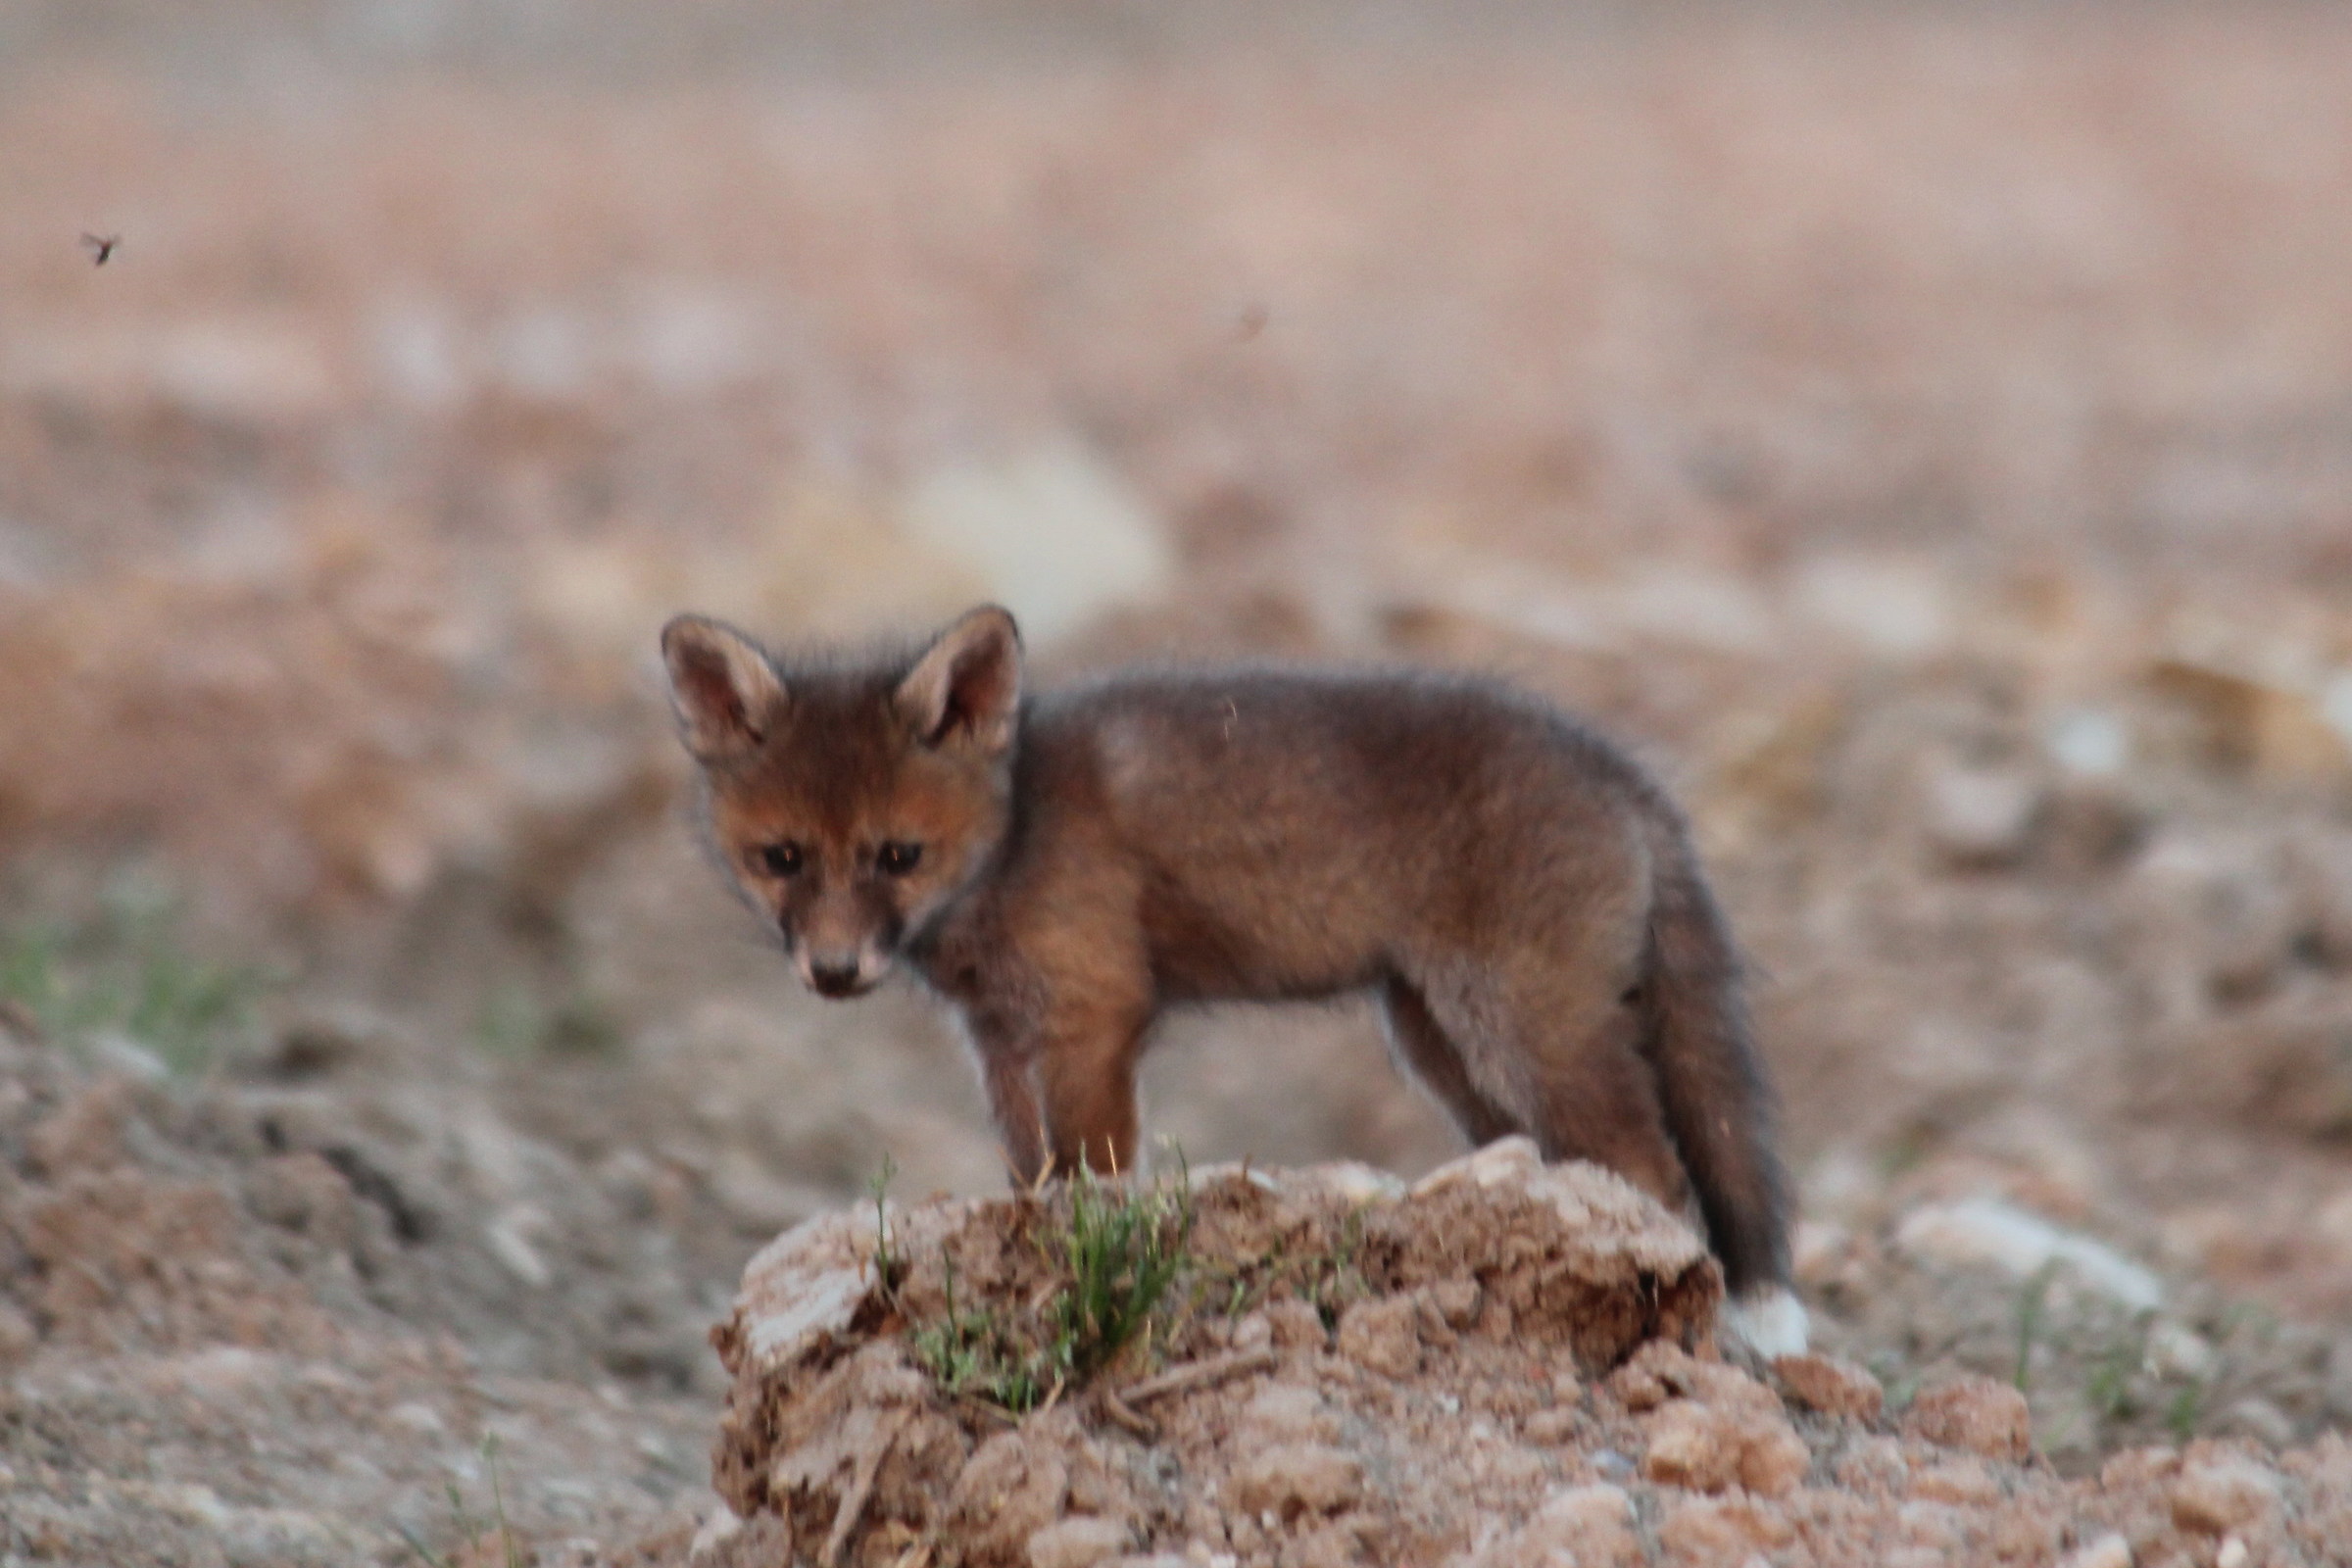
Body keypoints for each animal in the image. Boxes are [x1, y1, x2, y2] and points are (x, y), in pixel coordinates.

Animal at [660, 604, 1806, 1354]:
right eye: (782, 858)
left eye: (897, 856)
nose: (833, 970)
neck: (1014, 836)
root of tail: (1627, 773)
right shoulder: (1001, 1039)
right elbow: (1029, 1176)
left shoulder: (1094, 1015)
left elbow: (1088, 1180)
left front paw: (1087, 1267)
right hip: (1444, 1045)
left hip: (1524, 1028)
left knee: (1655, 1170)